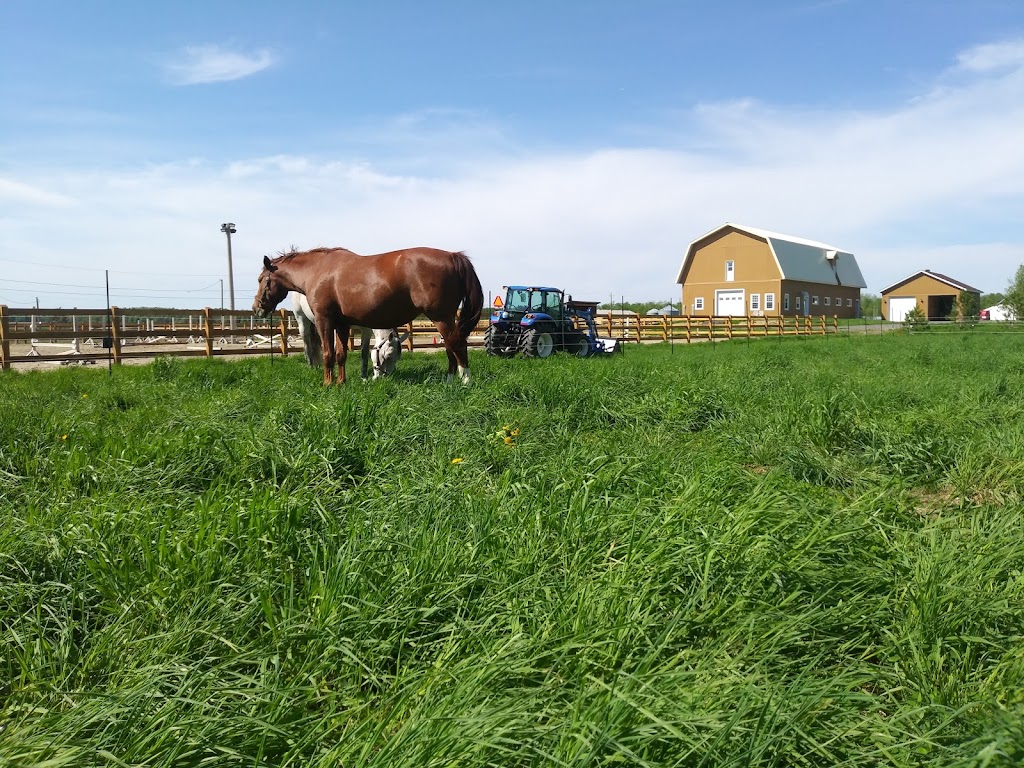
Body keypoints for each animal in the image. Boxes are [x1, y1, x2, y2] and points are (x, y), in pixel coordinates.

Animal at [251, 247, 483, 385]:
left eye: (261, 279)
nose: (256, 308)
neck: (318, 270)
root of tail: (453, 256)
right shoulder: (342, 324)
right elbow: (341, 354)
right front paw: (341, 383)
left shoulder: (325, 321)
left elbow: (328, 354)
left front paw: (328, 384)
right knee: (450, 346)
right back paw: (450, 380)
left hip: (441, 317)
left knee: (457, 344)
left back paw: (465, 381)